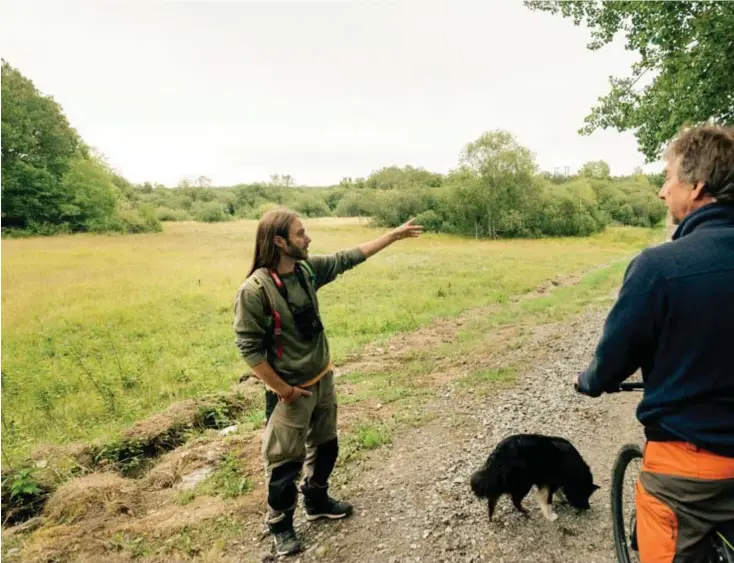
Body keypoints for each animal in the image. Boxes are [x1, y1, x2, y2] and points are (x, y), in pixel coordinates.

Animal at [472, 434, 600, 524]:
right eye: (584, 495)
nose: (588, 508)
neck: (574, 469)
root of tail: (499, 453)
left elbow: (557, 491)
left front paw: (562, 499)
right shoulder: (549, 483)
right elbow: (547, 500)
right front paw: (551, 516)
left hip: (504, 482)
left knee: (493, 498)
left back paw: (492, 516)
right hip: (523, 483)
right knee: (514, 500)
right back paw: (525, 512)